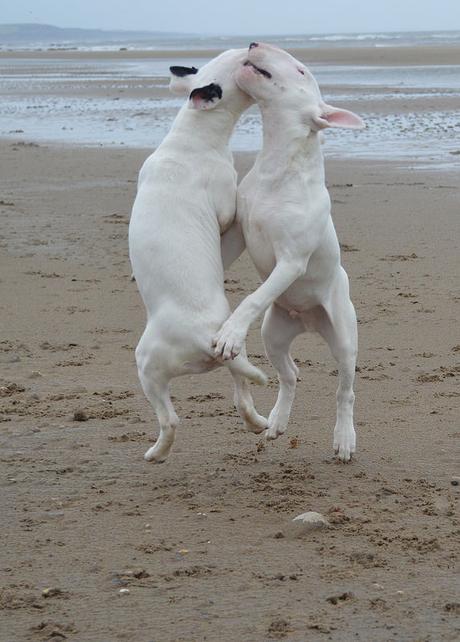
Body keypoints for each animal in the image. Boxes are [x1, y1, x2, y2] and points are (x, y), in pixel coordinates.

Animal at [127, 48, 268, 460]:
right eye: (240, 62)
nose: (250, 46)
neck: (192, 136)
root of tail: (203, 336)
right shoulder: (225, 211)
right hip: (148, 364)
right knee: (172, 419)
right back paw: (157, 453)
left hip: (217, 358)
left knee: (235, 399)